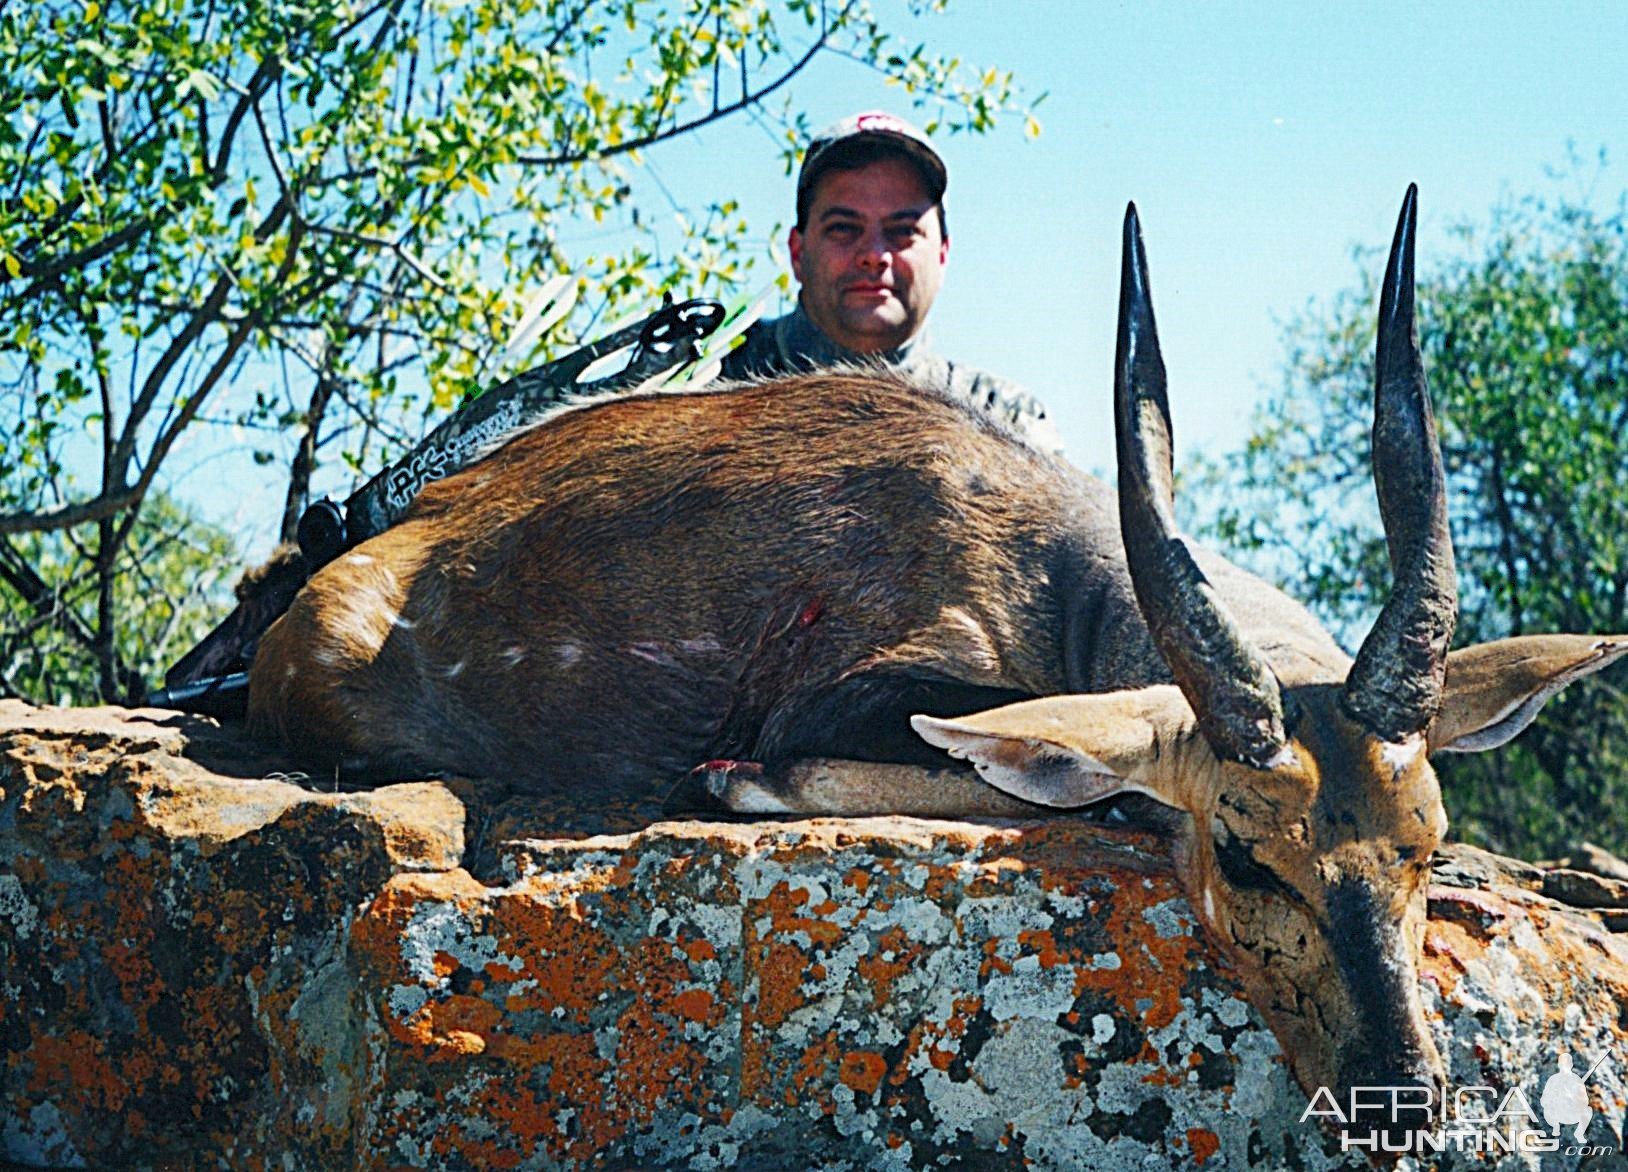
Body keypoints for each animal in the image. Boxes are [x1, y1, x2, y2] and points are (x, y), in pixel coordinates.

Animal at [247, 188, 1621, 1113]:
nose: (1399, 1098)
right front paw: (738, 779)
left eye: (1425, 842)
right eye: (1242, 851)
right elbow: (1046, 777)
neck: (1047, 564)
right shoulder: (846, 693)